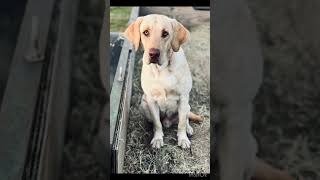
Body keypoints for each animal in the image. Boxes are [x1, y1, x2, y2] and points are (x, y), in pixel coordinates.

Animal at [123, 14, 201, 149]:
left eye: (165, 33)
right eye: (145, 32)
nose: (153, 54)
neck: (162, 69)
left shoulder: (183, 97)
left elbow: (181, 123)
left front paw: (183, 139)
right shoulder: (151, 99)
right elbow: (157, 123)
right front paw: (157, 138)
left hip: (187, 105)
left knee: (185, 119)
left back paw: (188, 129)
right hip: (143, 104)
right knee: (156, 121)